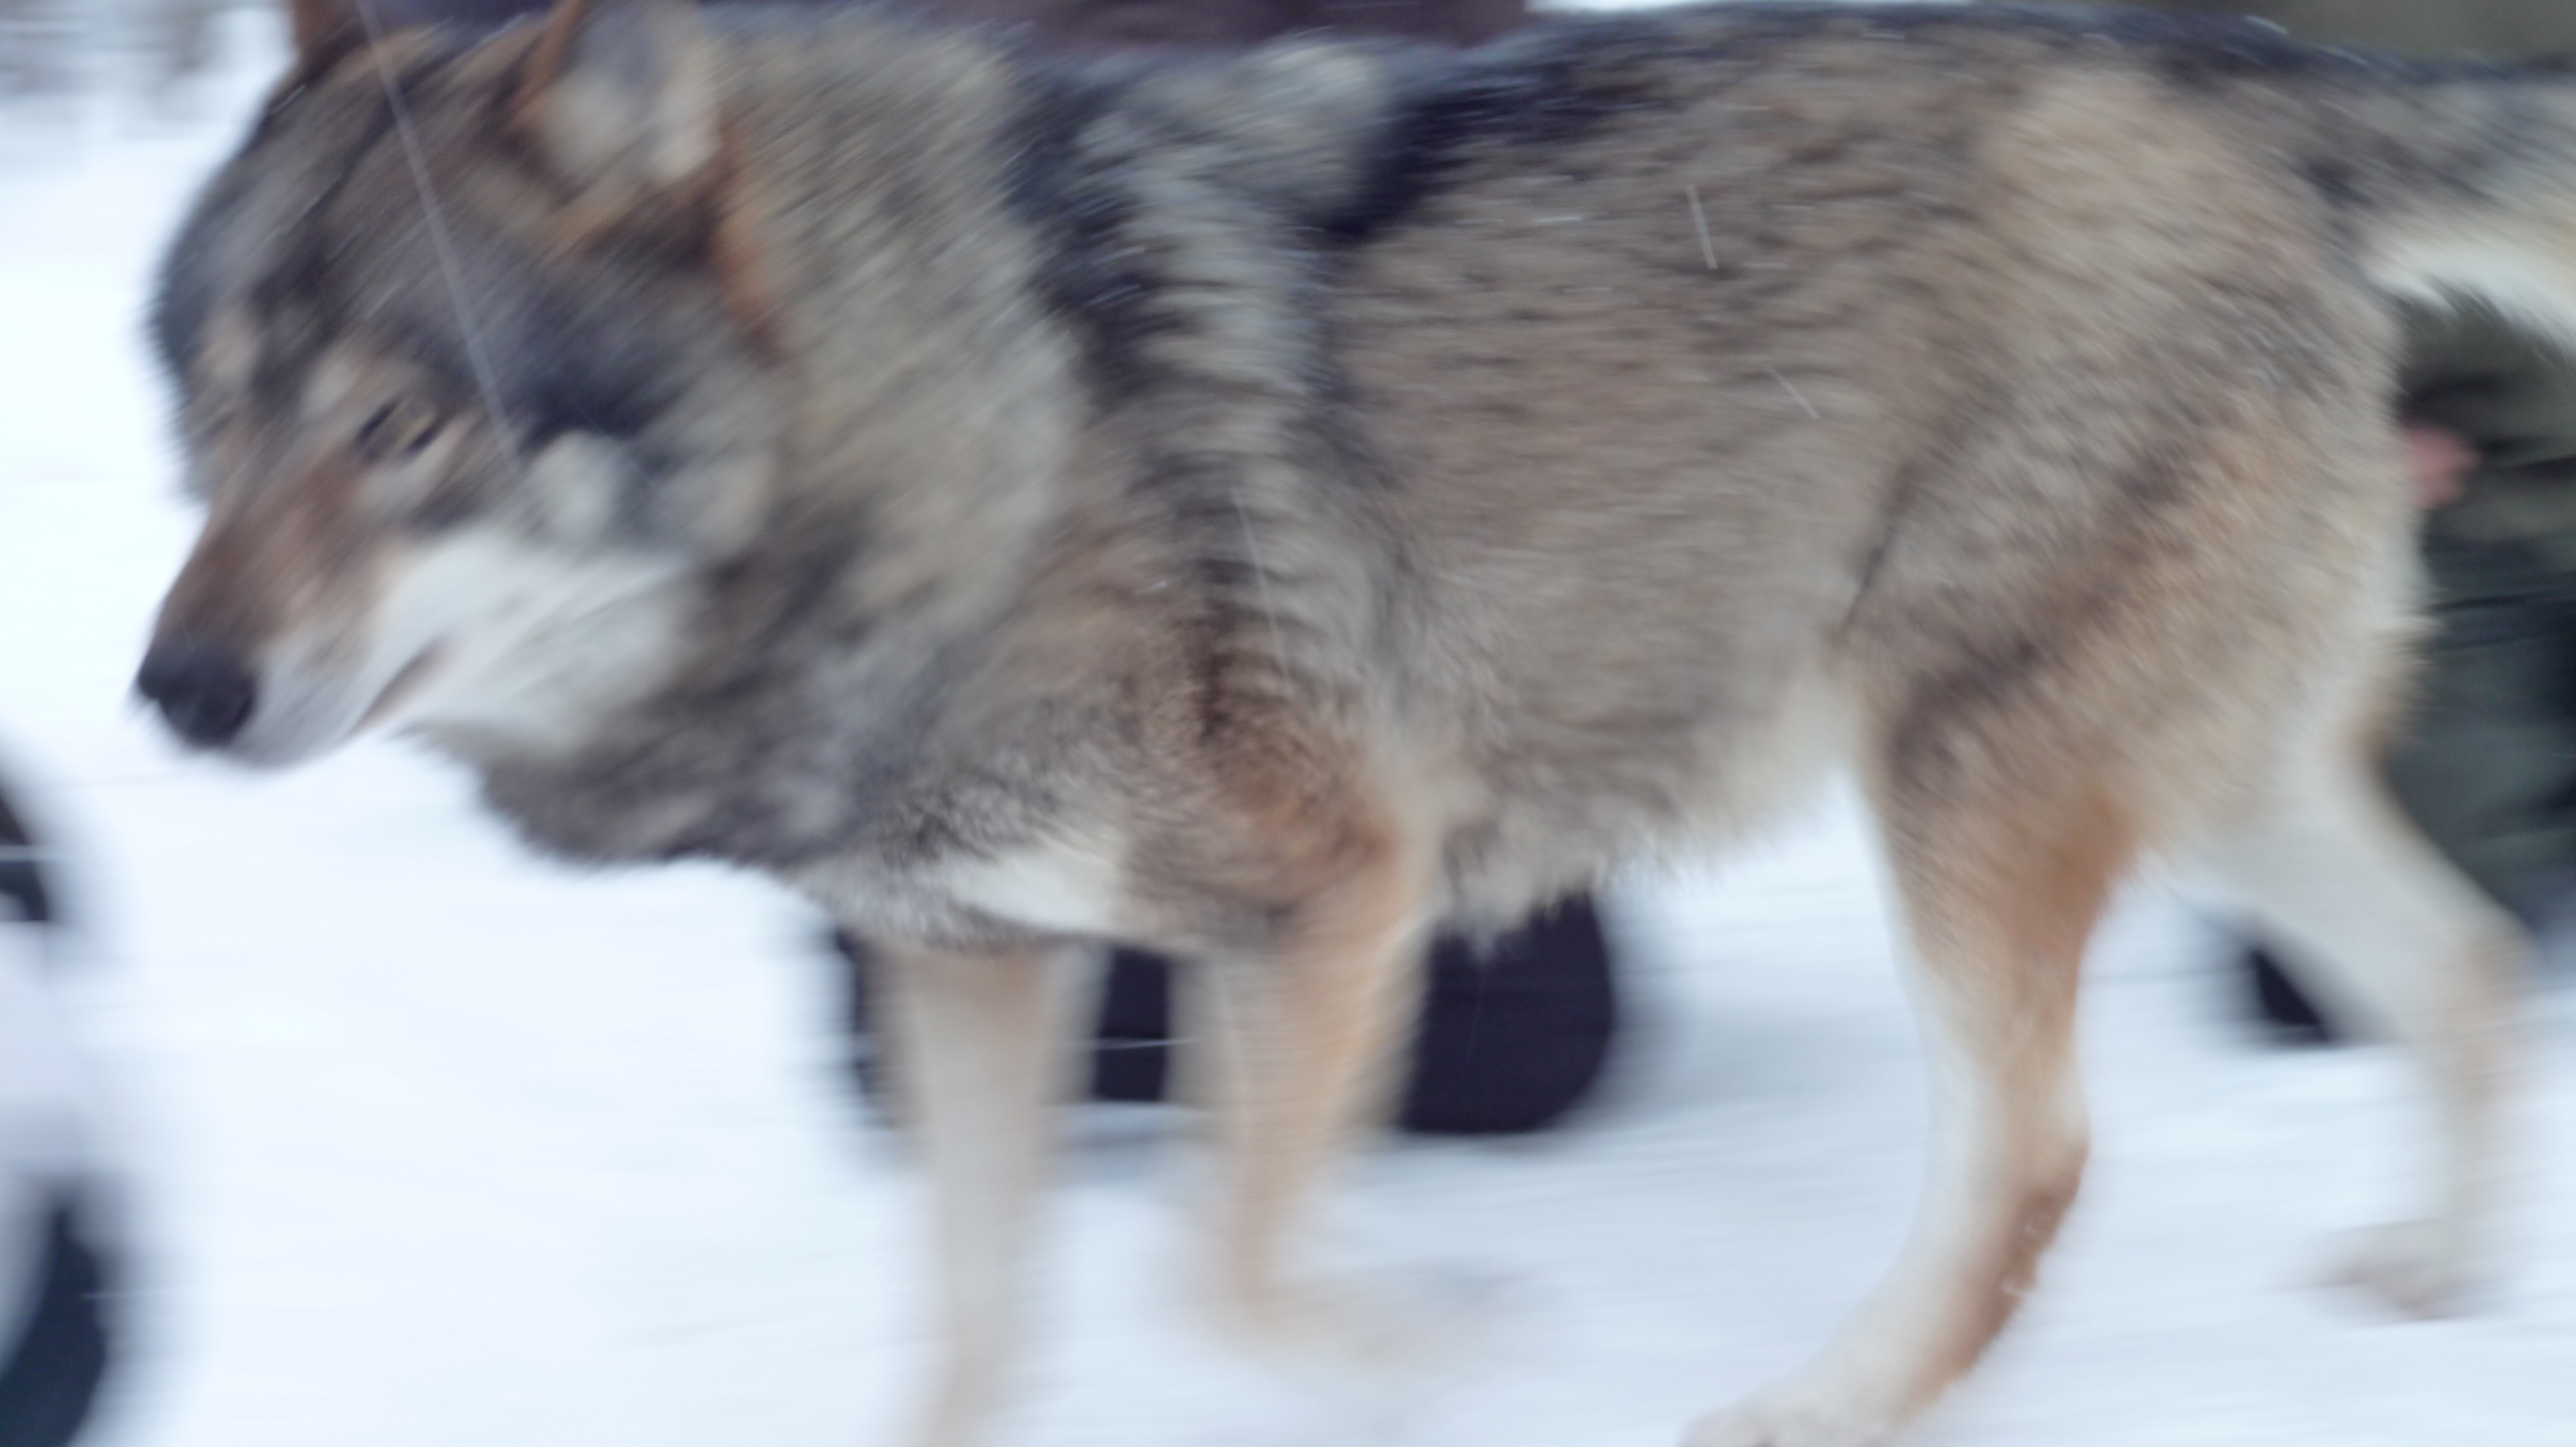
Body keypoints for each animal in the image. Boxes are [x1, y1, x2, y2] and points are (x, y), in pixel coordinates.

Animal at [136, 0, 2549, 1441]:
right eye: (217, 418)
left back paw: (1818, 1405)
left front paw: (1433, 1346)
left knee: (2038, 1155)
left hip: (1964, 800)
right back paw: (2439, 1266)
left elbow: (1219, 1267)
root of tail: (2228, 77)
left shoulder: (1325, 907)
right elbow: (974, 1323)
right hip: (2202, 788)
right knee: (2464, 968)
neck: (962, 428)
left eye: (399, 427)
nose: (175, 694)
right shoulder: (972, 965)